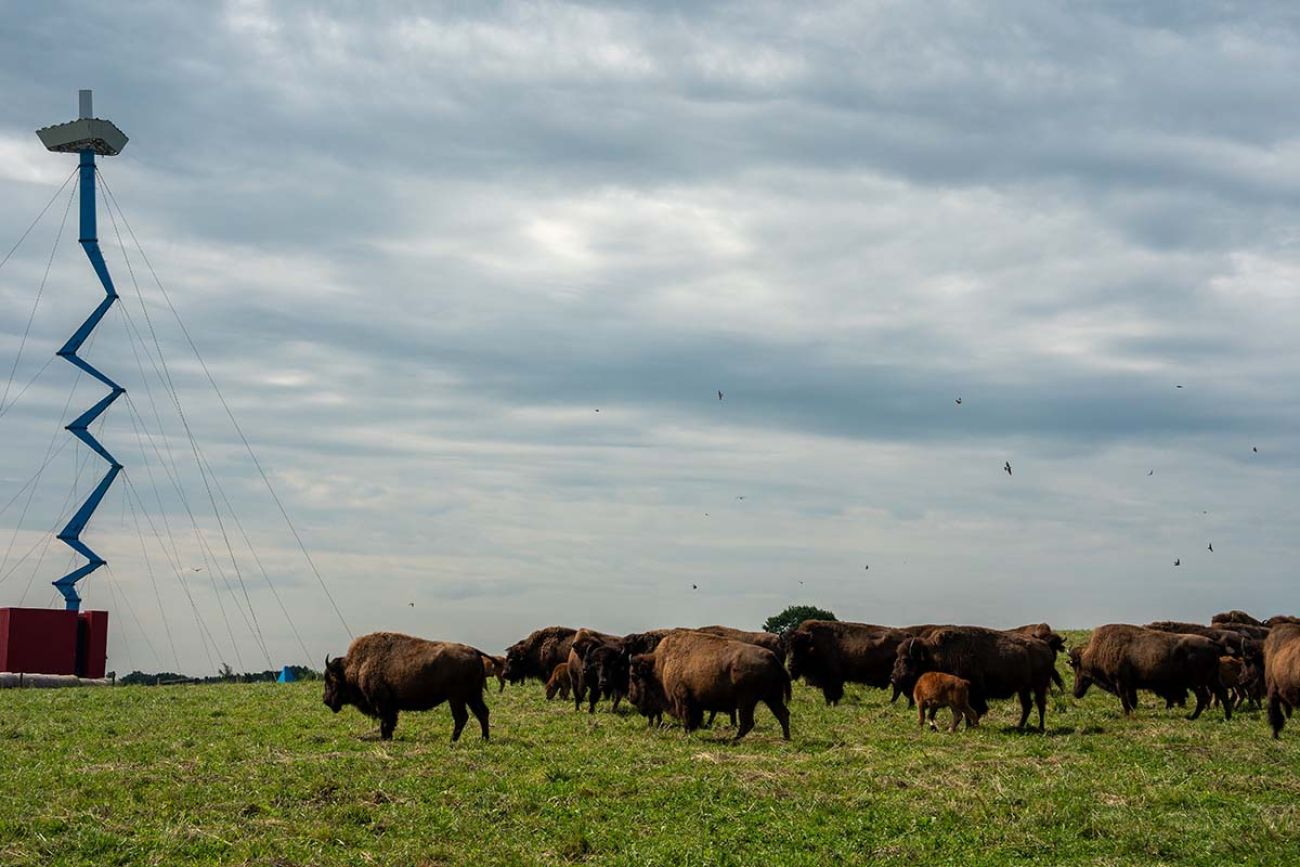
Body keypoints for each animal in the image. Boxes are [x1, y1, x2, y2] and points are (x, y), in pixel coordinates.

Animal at [322, 634, 488, 743]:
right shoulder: (390, 707)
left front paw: (385, 738)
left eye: (330, 680)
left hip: (456, 698)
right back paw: (484, 739)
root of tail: (474, 651)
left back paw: (452, 741)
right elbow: (389, 723)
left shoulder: (384, 704)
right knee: (482, 713)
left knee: (462, 717)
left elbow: (386, 722)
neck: (359, 665)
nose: (325, 700)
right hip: (473, 695)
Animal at [621, 626, 785, 743]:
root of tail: (772, 657)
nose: (631, 697)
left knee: (748, 722)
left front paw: (687, 734)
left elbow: (688, 718)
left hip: (748, 701)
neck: (661, 664)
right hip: (771, 698)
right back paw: (785, 738)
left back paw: (734, 740)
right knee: (782, 714)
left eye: (634, 676)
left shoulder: (683, 698)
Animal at [889, 623, 1060, 733]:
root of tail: (1045, 647)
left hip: (1039, 686)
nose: (893, 678)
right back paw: (1019, 726)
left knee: (1040, 705)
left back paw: (1040, 728)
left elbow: (974, 710)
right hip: (1023, 689)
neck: (936, 653)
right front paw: (967, 725)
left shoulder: (973, 693)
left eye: (906, 660)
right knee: (1027, 706)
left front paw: (970, 726)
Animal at [1066, 626, 1227, 722]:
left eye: (1076, 667)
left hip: (1197, 683)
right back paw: (1226, 716)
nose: (1075, 692)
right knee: (1221, 694)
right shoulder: (1129, 686)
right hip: (1211, 680)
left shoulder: (1121, 684)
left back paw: (1192, 717)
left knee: (1203, 697)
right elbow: (1132, 700)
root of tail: (1212, 643)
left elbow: (1126, 701)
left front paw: (1127, 714)